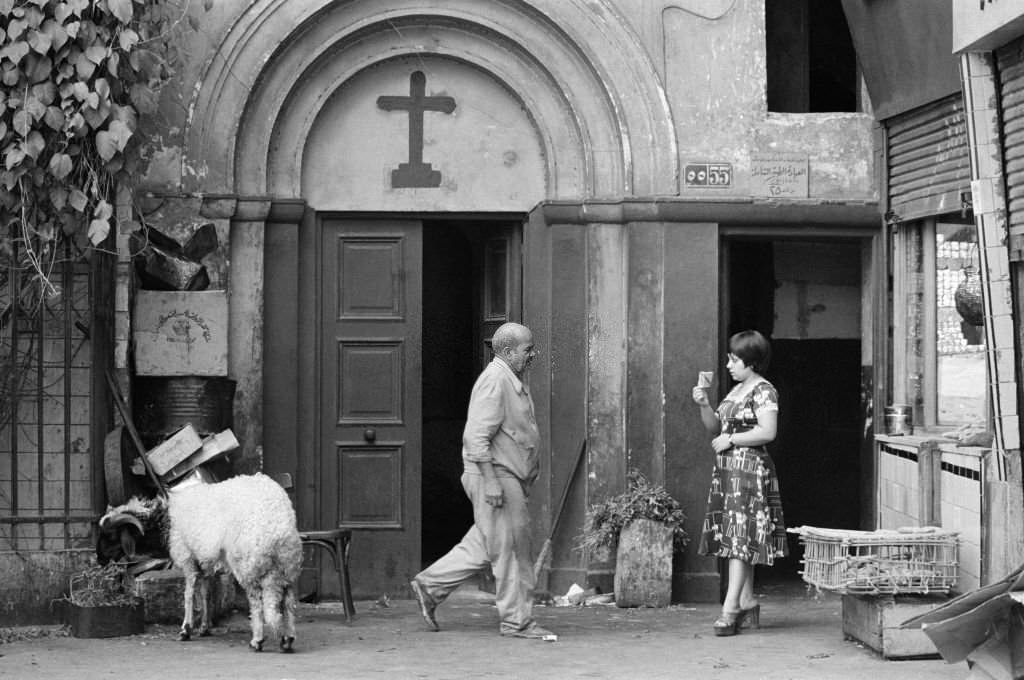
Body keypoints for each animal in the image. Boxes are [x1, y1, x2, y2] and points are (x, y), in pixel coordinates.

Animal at [96, 473, 303, 655]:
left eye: (111, 535)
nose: (99, 559)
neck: (165, 521)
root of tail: (278, 532)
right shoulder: (203, 562)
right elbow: (205, 593)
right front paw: (204, 627)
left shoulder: (187, 557)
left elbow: (188, 594)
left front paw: (185, 630)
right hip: (287, 569)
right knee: (288, 603)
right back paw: (287, 639)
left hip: (249, 566)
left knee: (257, 604)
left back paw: (257, 641)